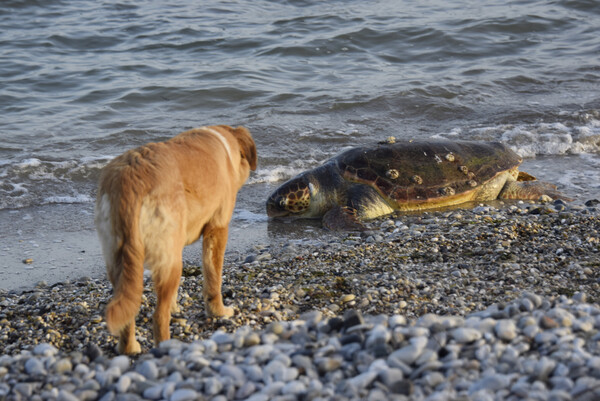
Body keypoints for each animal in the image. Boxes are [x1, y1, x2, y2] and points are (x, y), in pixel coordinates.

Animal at [95, 125, 256, 354]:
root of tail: (131, 181)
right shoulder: (217, 229)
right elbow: (213, 279)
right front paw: (219, 311)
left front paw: (175, 306)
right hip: (168, 260)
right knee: (158, 316)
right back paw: (166, 347)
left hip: (121, 260)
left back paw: (130, 348)